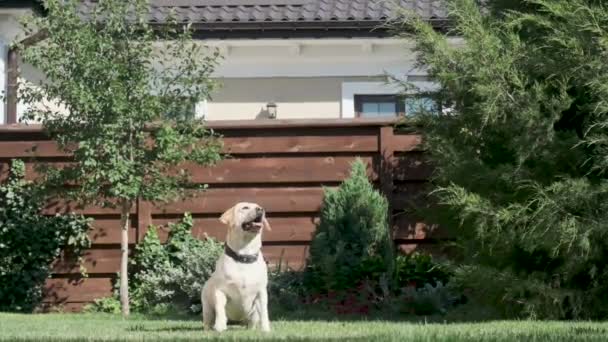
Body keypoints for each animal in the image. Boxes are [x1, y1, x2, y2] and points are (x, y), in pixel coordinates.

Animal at [202, 202, 270, 332]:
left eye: (258, 206)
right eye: (245, 207)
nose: (260, 209)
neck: (244, 257)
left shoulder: (261, 292)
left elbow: (264, 311)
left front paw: (266, 329)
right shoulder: (220, 291)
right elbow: (220, 309)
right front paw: (220, 326)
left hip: (253, 315)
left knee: (253, 321)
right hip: (207, 307)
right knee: (208, 320)